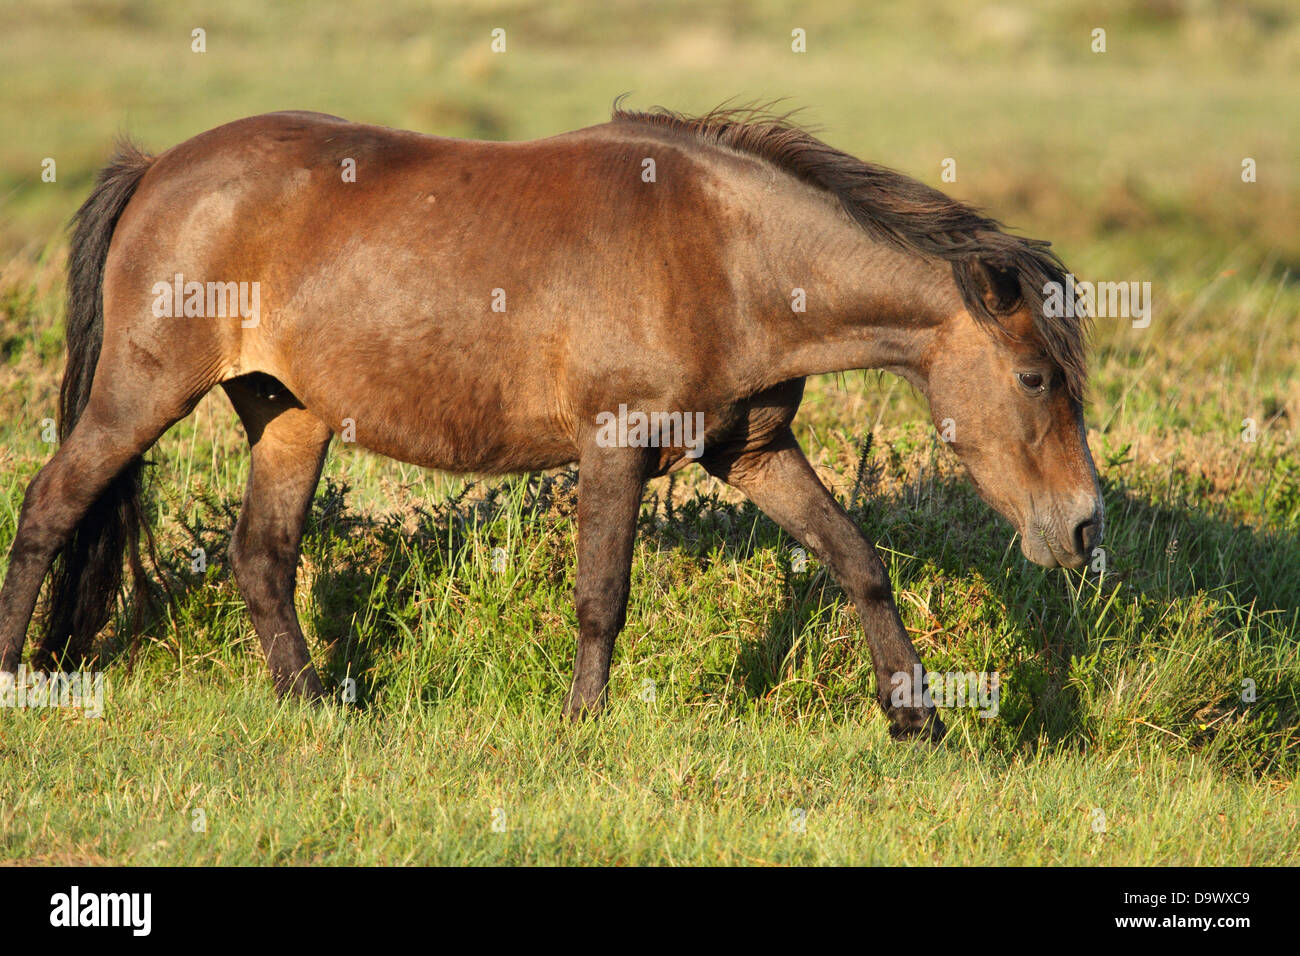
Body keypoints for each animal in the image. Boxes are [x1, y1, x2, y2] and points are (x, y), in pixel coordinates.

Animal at [0, 104, 1102, 741]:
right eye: (1035, 377)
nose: (1084, 526)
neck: (727, 254)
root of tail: (157, 168)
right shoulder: (613, 445)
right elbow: (601, 596)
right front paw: (582, 726)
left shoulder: (751, 449)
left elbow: (856, 558)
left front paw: (915, 719)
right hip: (142, 392)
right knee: (50, 506)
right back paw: (15, 673)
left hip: (289, 417)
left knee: (261, 556)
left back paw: (316, 708)